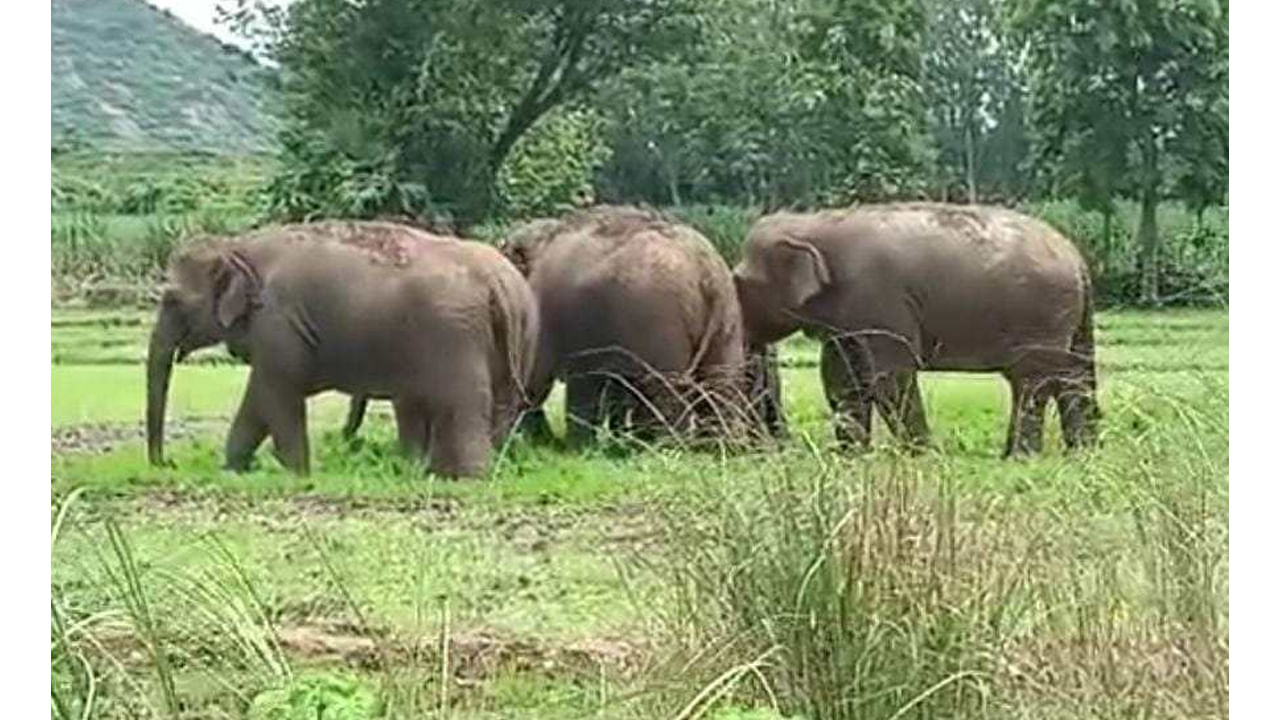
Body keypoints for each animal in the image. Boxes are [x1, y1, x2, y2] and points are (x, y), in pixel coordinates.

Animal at [146, 221, 539, 478]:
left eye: (172, 299)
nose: (166, 464)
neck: (239, 247)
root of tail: (496, 284)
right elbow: (258, 400)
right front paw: (233, 470)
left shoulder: (279, 323)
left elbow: (276, 391)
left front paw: (298, 475)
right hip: (522, 332)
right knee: (500, 406)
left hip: (455, 334)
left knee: (463, 403)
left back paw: (470, 479)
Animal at [499, 206, 758, 446]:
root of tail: (705, 271)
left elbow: (542, 376)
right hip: (727, 319)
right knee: (722, 383)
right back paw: (720, 447)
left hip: (661, 324)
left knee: (667, 389)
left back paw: (670, 446)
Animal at [733, 203, 1100, 456]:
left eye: (739, 281)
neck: (814, 222)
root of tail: (1077, 258)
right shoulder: (846, 318)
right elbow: (842, 378)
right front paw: (849, 455)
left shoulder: (875, 297)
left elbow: (890, 375)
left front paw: (921, 454)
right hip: (1071, 321)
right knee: (1073, 378)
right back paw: (1081, 451)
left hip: (1042, 317)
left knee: (1032, 382)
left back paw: (1019, 456)